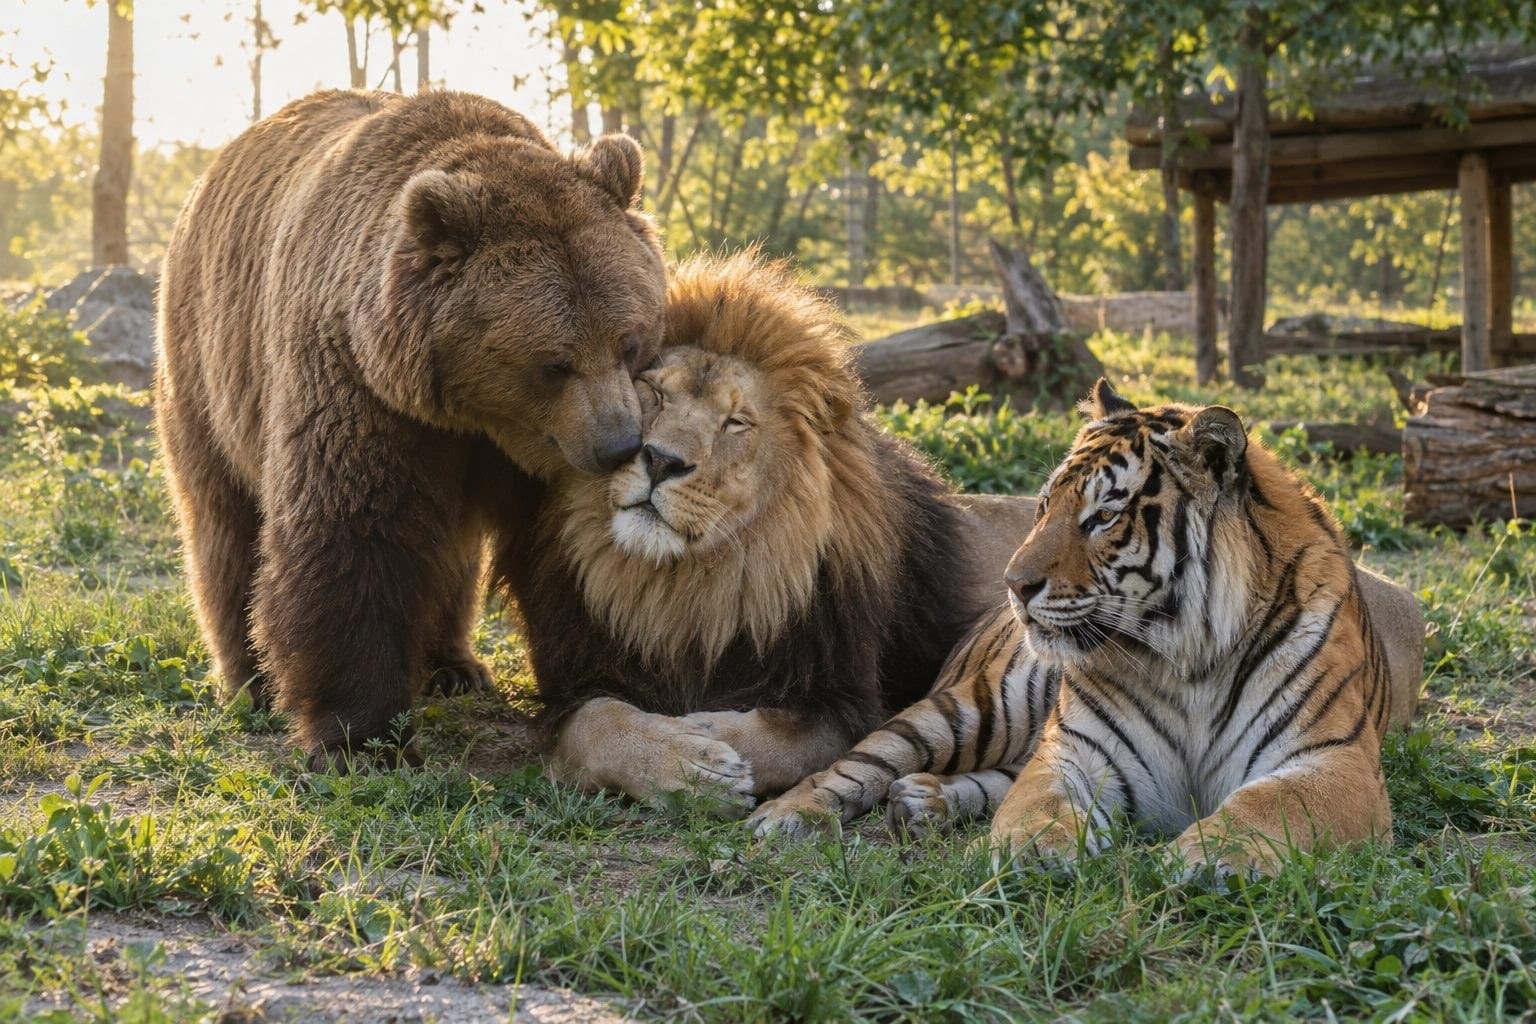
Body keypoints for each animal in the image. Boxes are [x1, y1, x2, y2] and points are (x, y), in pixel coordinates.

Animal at [747, 379, 1422, 877]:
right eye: (1045, 505)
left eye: (1102, 517)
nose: (1013, 583)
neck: (1189, 660)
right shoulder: (1073, 751)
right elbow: (1037, 802)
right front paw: (1031, 850)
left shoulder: (1334, 760)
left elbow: (1268, 804)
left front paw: (1210, 857)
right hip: (974, 708)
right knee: (858, 763)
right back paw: (784, 816)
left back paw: (922, 802)